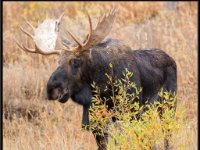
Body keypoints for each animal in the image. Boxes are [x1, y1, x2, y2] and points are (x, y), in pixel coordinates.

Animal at [16, 7, 177, 150]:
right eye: (57, 61)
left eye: (76, 61)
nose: (51, 89)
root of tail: (171, 59)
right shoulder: (96, 121)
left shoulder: (132, 113)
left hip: (168, 104)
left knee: (167, 134)